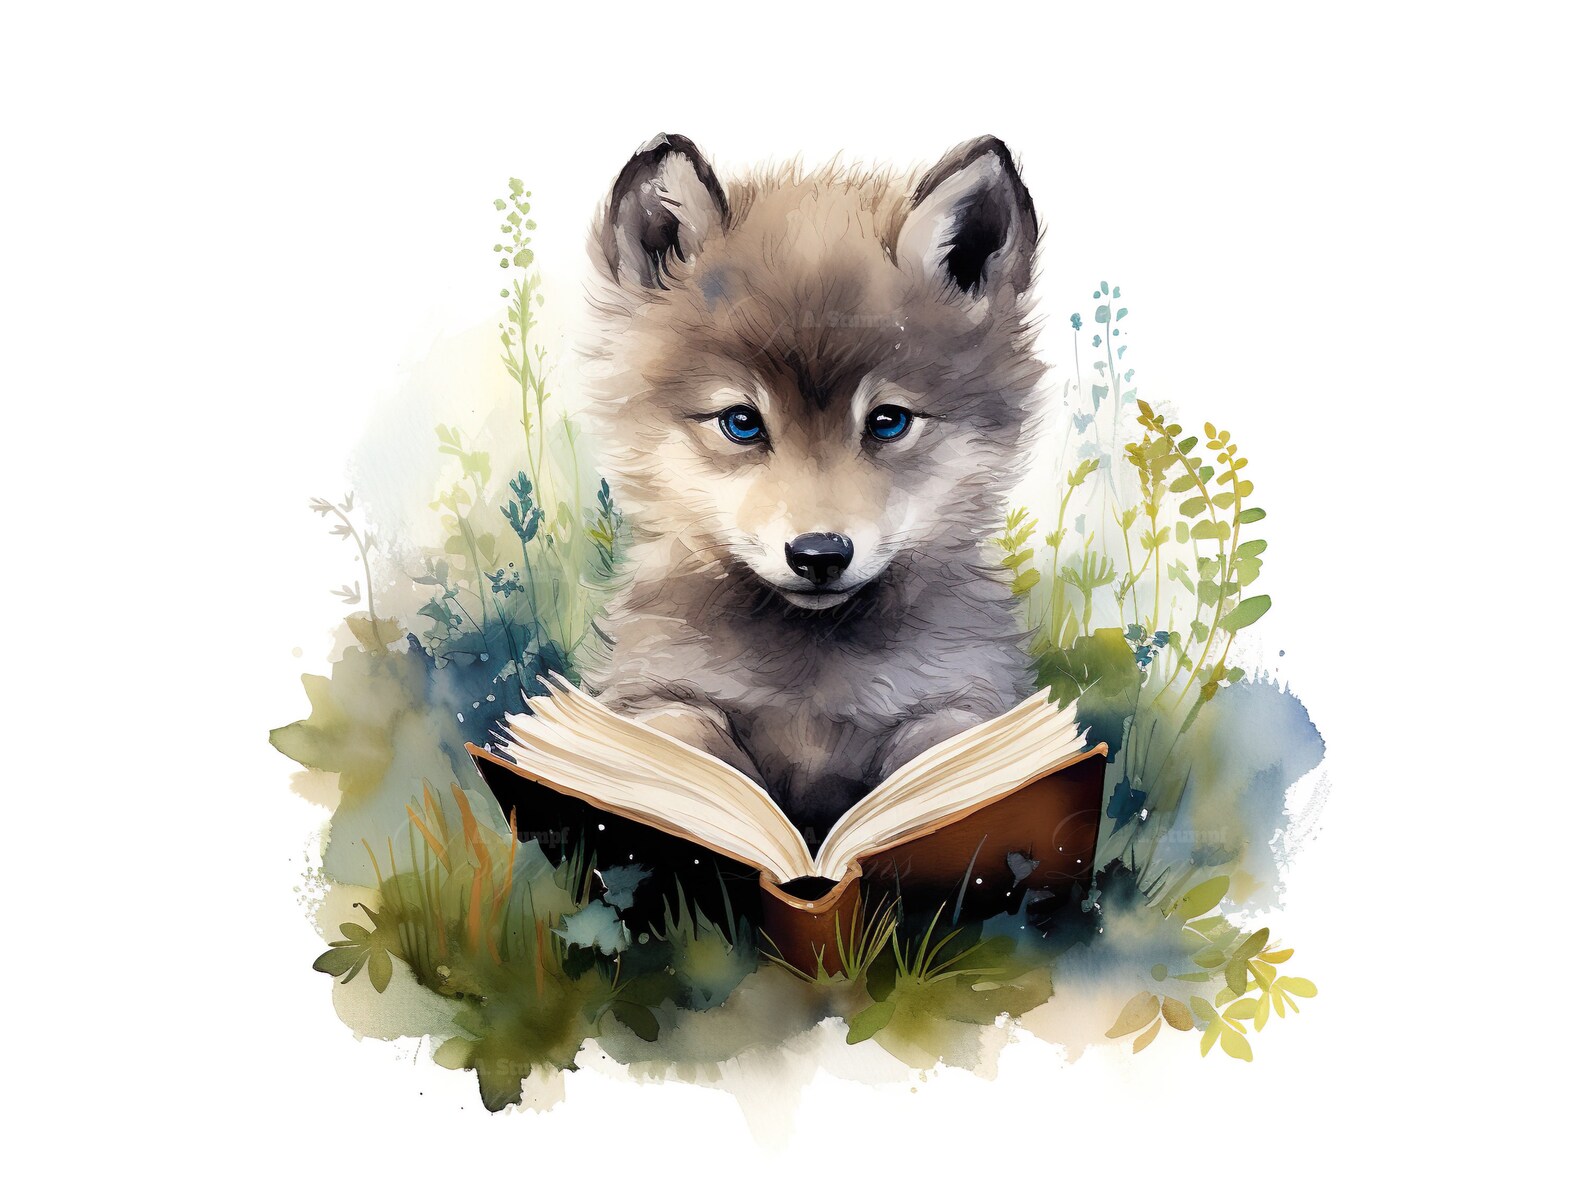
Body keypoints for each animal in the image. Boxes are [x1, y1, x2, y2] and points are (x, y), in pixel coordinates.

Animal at [580, 133, 1046, 846]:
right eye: (741, 422)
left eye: (888, 421)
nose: (820, 555)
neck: (813, 685)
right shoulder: (654, 690)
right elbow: (688, 741)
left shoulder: (965, 696)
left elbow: (941, 756)